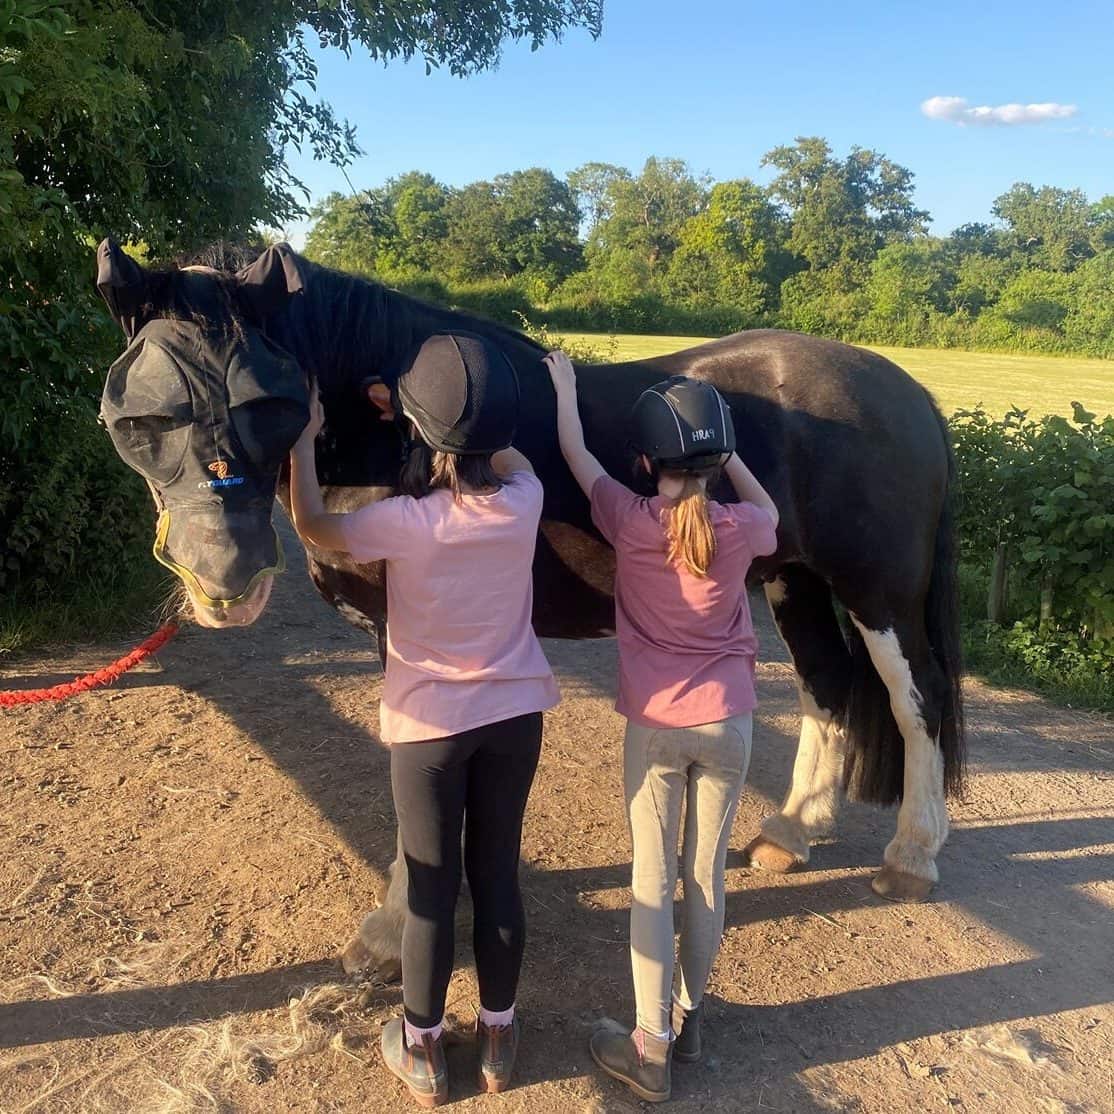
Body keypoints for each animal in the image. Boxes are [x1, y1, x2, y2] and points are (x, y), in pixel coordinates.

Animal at [95, 239, 964, 982]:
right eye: (137, 417)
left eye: (272, 401)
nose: (225, 575)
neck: (382, 427)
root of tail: (910, 393)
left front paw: (390, 934)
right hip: (795, 580)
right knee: (827, 688)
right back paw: (791, 832)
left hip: (878, 592)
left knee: (913, 699)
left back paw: (911, 857)